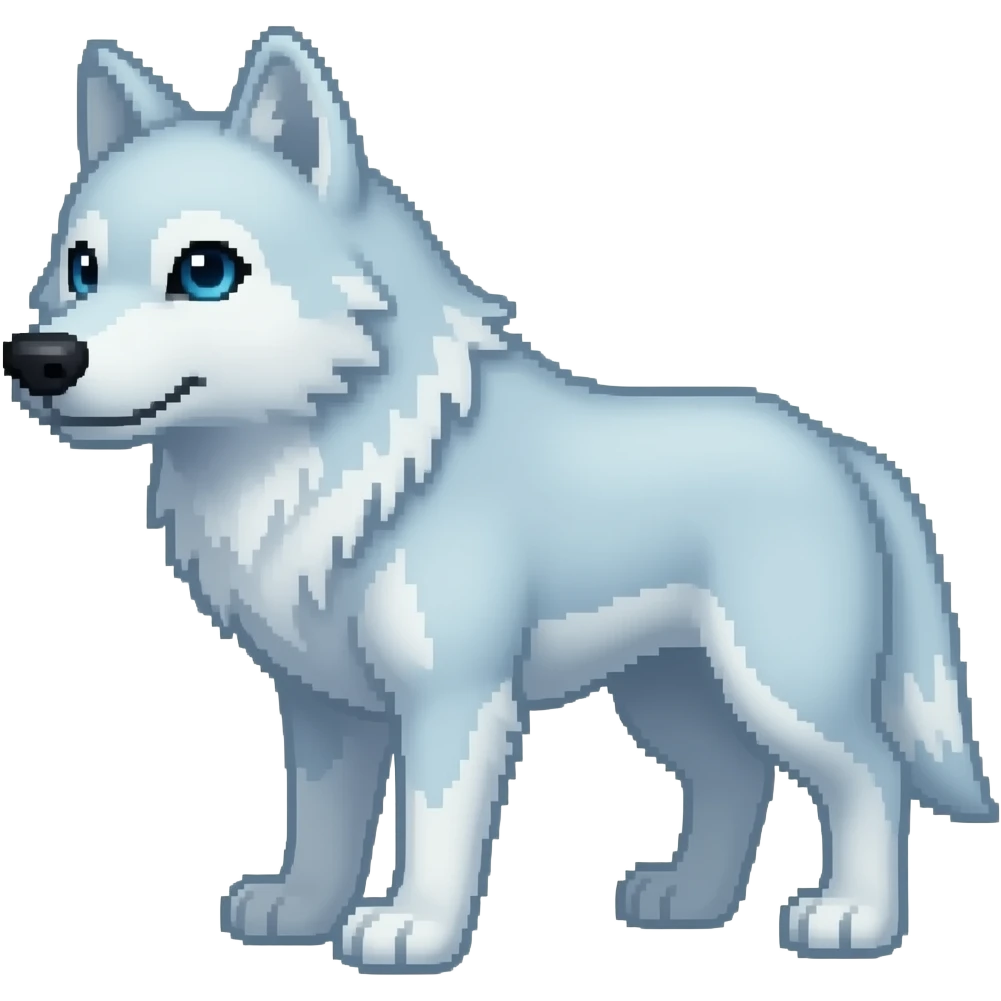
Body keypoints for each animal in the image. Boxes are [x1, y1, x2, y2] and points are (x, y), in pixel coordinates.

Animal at [3, 26, 996, 974]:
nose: (39, 358)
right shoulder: (324, 707)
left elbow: (436, 831)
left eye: (205, 270)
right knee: (734, 780)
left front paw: (411, 930)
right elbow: (323, 827)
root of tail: (840, 446)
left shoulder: (455, 696)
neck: (350, 460)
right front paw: (300, 911)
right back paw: (688, 902)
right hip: (670, 696)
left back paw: (852, 920)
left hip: (782, 686)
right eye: (81, 267)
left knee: (871, 774)